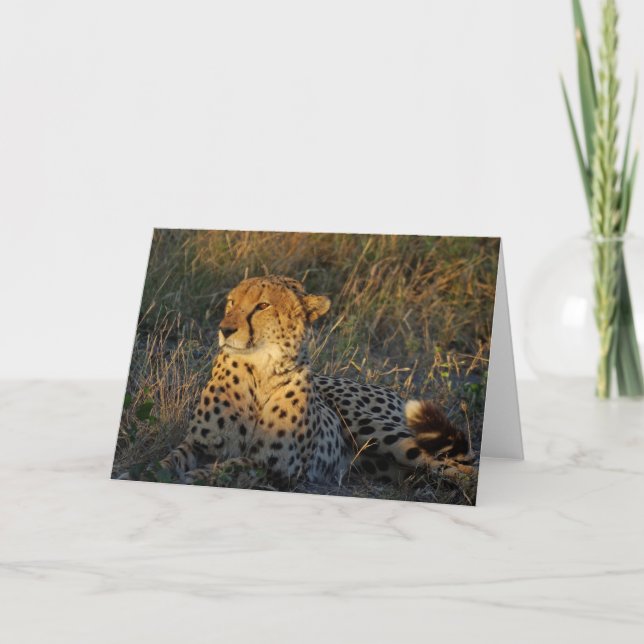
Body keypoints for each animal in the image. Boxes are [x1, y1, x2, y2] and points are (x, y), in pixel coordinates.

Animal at [157, 275, 475, 488]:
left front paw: (198, 475)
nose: (225, 329)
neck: (260, 368)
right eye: (232, 303)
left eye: (262, 305)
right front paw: (156, 471)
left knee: (459, 466)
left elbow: (233, 466)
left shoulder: (279, 468)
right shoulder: (199, 444)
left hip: (376, 429)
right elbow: (171, 458)